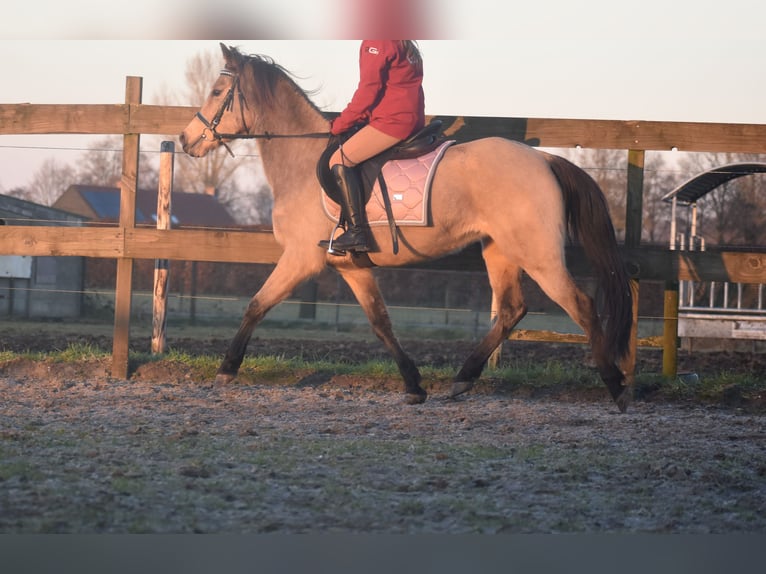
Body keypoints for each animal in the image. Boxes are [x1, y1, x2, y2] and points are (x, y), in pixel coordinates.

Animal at [180, 45, 636, 414]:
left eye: (217, 92)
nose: (185, 140)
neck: (301, 160)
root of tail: (544, 159)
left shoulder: (300, 259)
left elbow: (256, 305)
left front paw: (226, 371)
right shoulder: (350, 266)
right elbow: (381, 322)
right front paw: (414, 386)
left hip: (538, 254)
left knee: (581, 306)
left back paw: (616, 388)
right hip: (499, 250)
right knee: (511, 310)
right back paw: (462, 379)